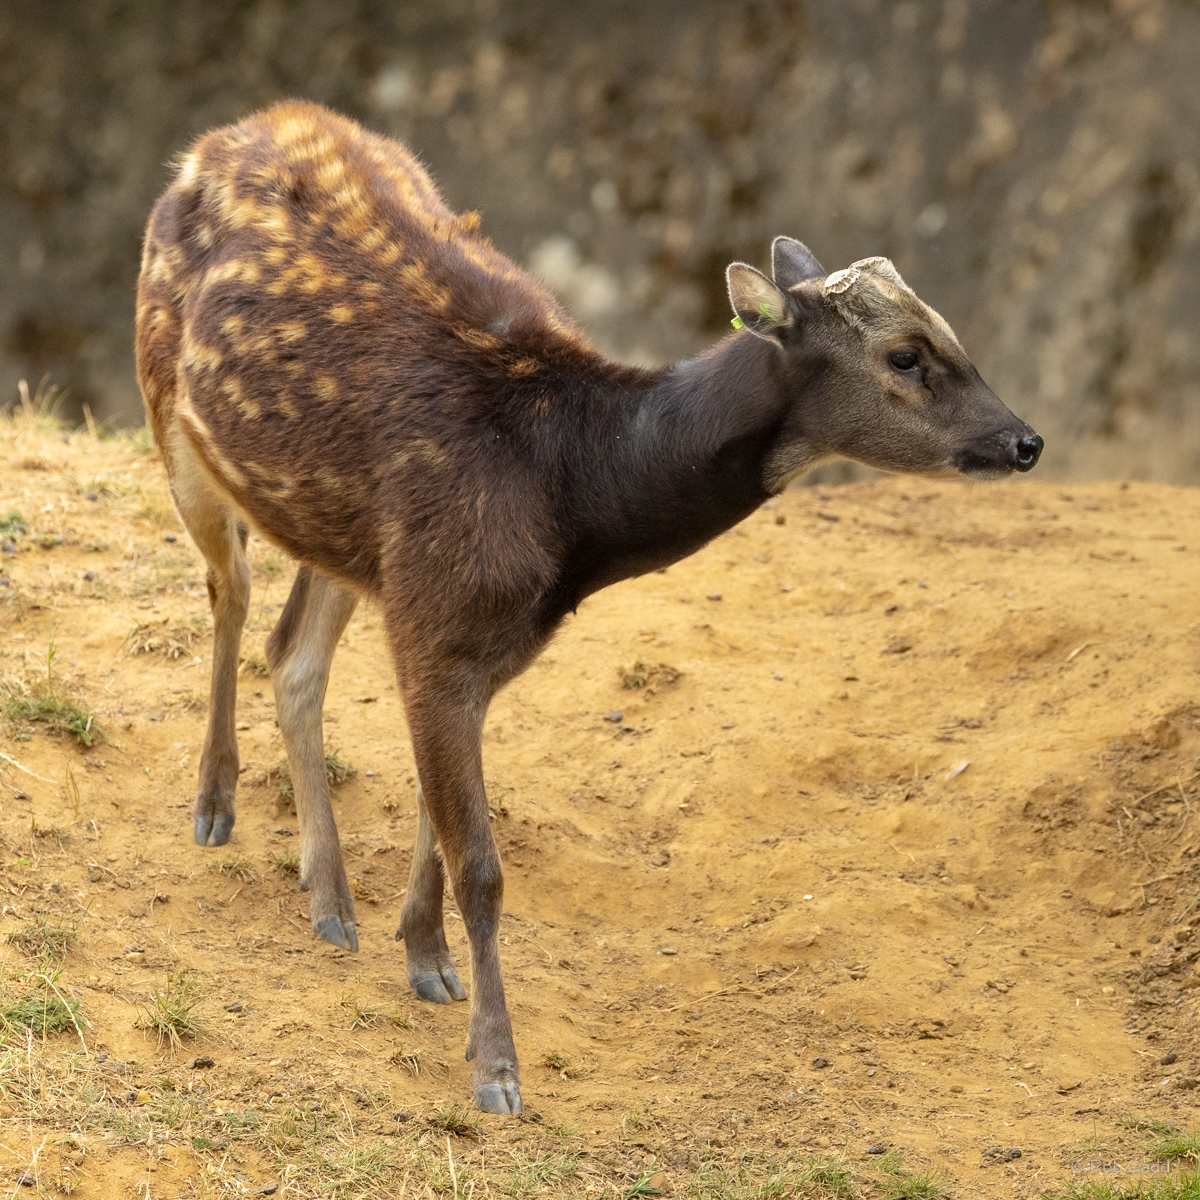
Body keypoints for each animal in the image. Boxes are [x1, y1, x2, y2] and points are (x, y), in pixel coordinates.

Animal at [134, 100, 1042, 1116]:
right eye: (906, 354)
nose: (1024, 441)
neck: (569, 489)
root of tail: (221, 138)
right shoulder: (439, 621)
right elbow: (482, 865)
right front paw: (496, 1069)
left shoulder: (464, 632)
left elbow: (437, 823)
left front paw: (426, 959)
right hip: (169, 408)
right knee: (230, 590)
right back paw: (213, 806)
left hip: (338, 528)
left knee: (292, 652)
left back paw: (329, 900)